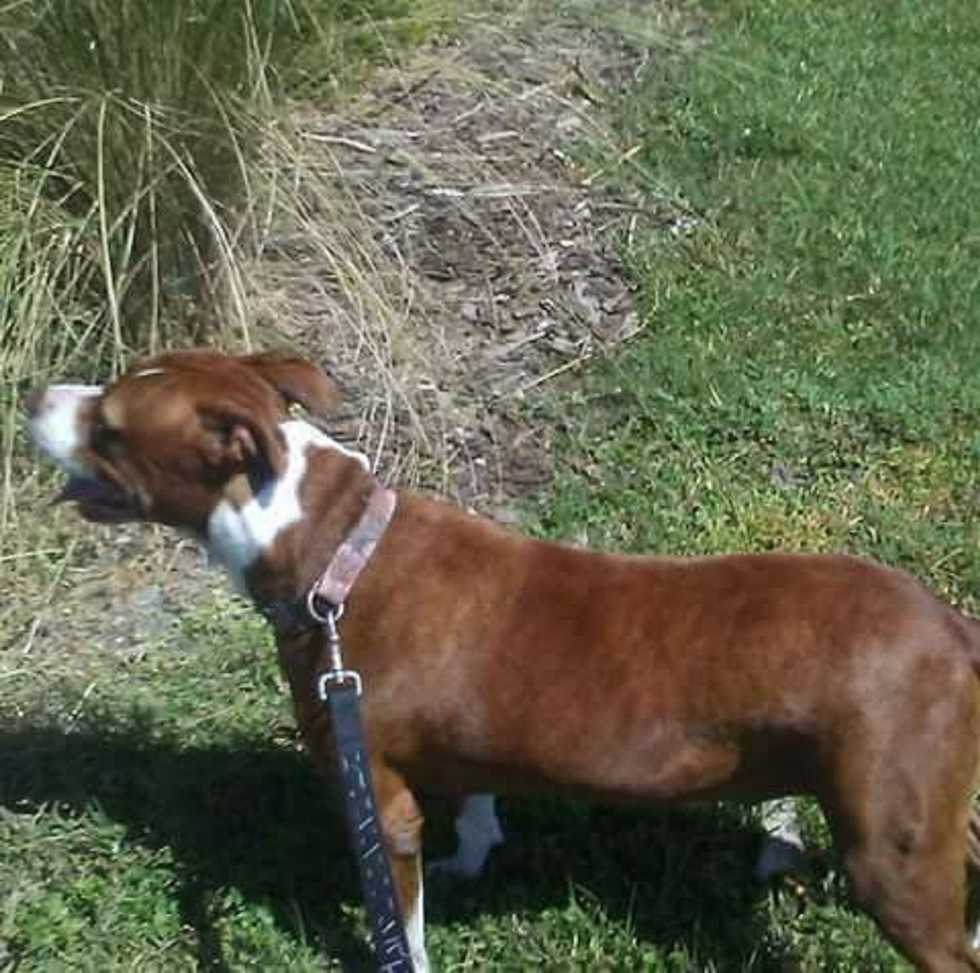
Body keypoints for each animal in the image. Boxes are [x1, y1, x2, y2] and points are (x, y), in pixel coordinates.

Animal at [26, 349, 980, 972]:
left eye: (109, 428)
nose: (34, 393)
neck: (334, 546)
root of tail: (950, 624)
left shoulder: (374, 790)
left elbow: (399, 920)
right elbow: (477, 800)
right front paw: (474, 854)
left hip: (890, 853)